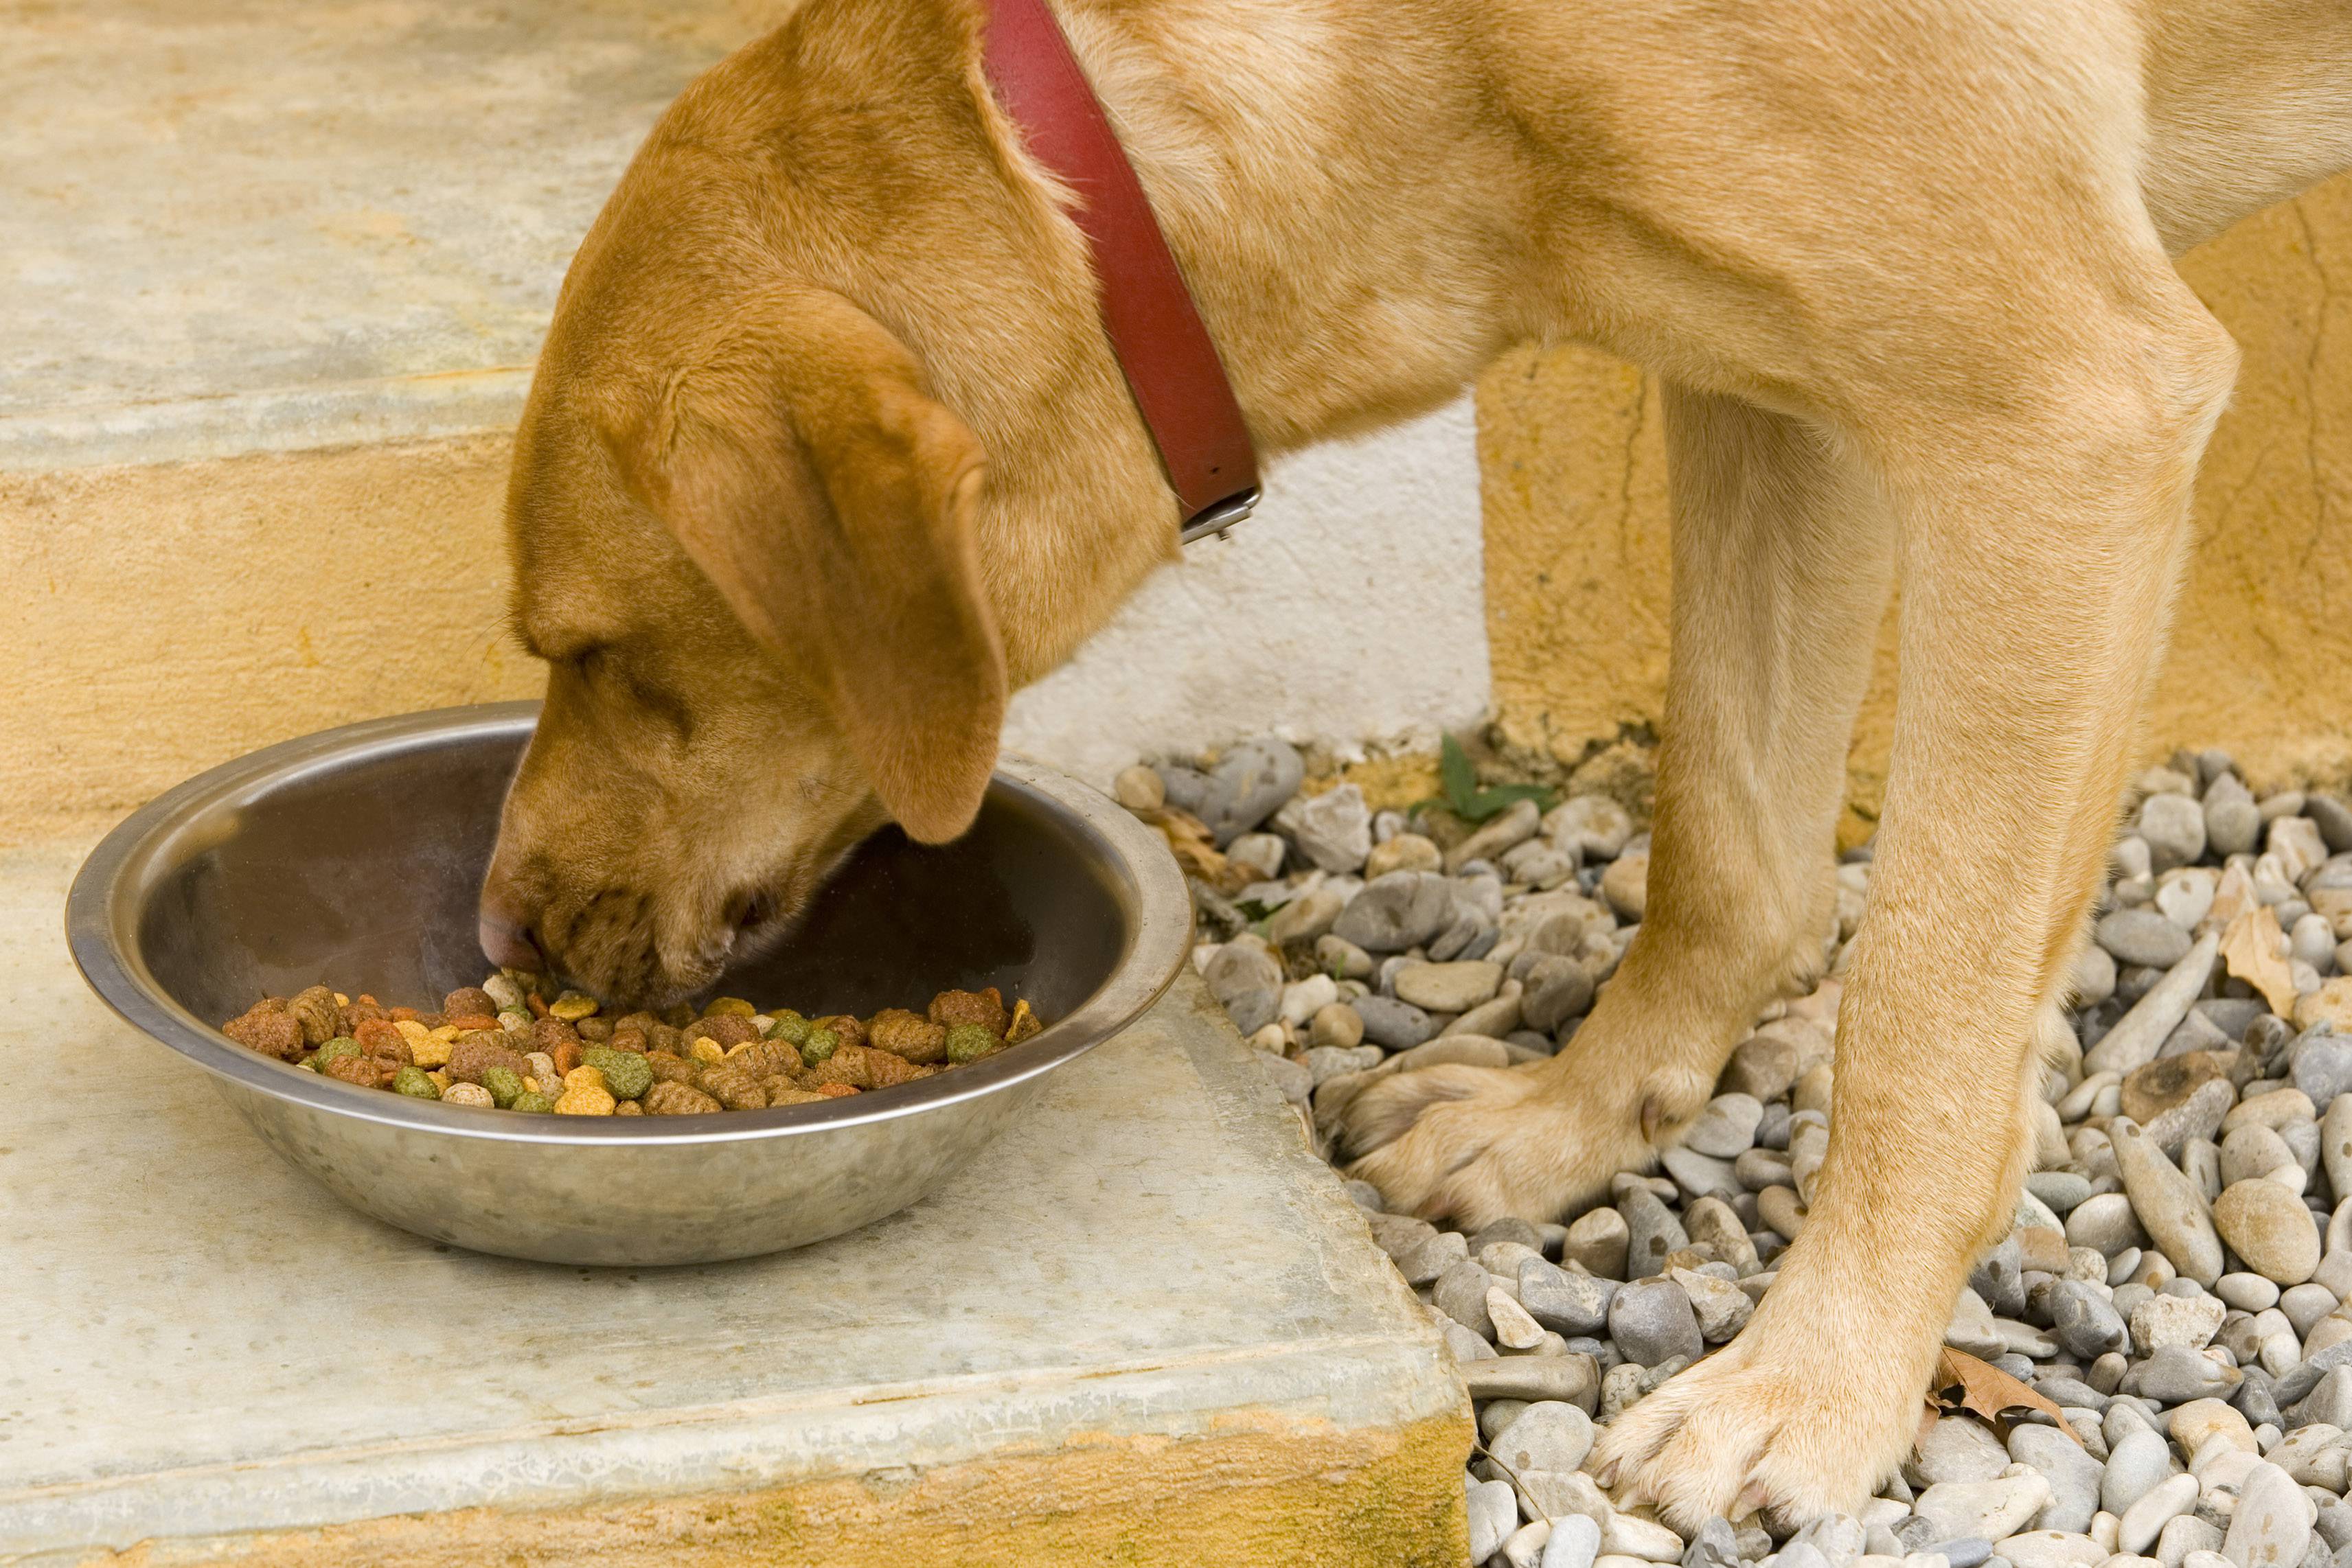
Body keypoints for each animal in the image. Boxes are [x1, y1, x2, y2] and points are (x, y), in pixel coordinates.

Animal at [472, 0, 2352, 1532]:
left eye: (593, 654)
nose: (506, 935)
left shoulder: (2059, 427)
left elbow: (1921, 1010)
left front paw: (1814, 1383)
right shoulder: (1779, 395)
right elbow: (1724, 844)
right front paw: (1566, 1126)